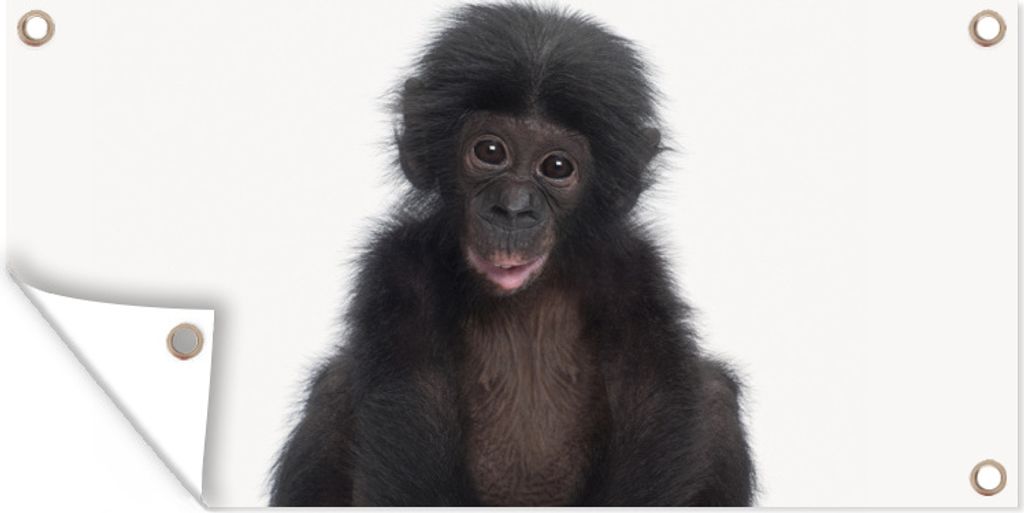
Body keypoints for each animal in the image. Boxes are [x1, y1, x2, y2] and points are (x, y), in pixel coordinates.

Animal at [270, 3, 754, 506]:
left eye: (557, 167)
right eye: (490, 151)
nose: (514, 208)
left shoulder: (636, 273)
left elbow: (654, 411)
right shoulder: (397, 269)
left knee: (715, 397)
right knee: (333, 390)